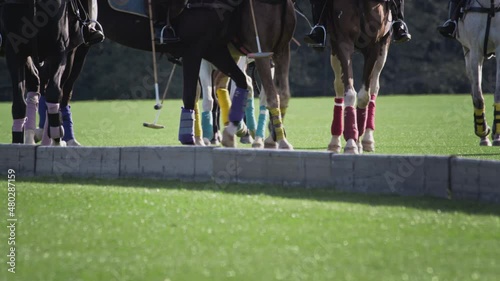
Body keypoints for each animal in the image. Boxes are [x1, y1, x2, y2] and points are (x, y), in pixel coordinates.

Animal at [324, 0, 394, 153]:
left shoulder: (375, 45)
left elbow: (364, 96)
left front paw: (356, 139)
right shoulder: (342, 42)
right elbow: (349, 93)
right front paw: (351, 142)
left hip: (384, 47)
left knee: (374, 86)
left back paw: (366, 140)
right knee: (338, 85)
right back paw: (335, 141)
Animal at [458, 0, 500, 144]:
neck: (490, 7)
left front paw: (497, 135)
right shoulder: (475, 50)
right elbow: (478, 96)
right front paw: (483, 132)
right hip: (467, 51)